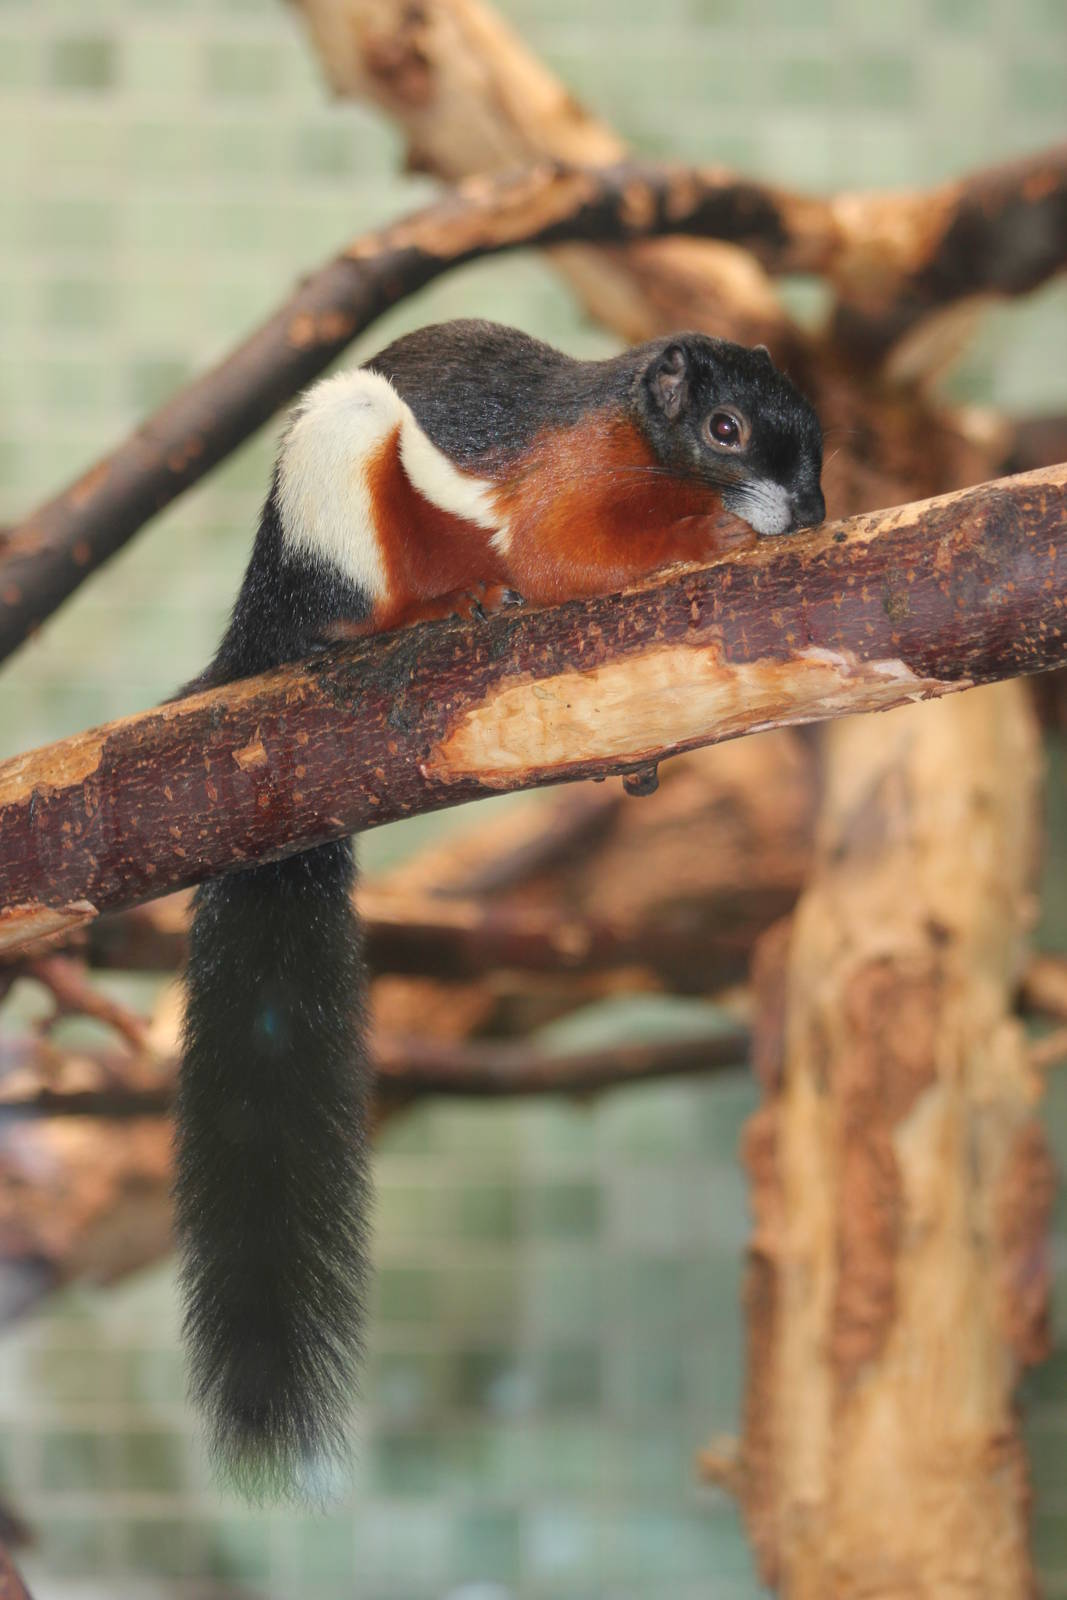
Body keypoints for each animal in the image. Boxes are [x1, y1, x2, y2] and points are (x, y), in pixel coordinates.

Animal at [176, 318, 825, 1494]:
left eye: (817, 441)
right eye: (723, 429)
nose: (803, 512)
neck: (639, 446)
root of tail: (253, 617)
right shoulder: (565, 489)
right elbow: (565, 559)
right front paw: (714, 537)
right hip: (334, 490)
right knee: (348, 613)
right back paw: (430, 613)